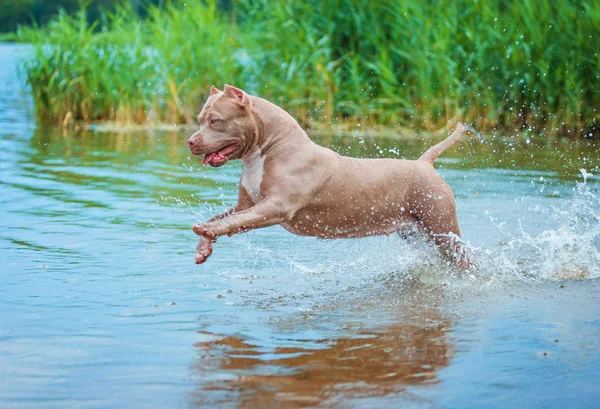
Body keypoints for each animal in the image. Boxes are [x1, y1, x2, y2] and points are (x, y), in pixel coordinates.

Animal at [188, 84, 468, 266]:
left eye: (215, 121)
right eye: (200, 118)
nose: (190, 141)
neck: (272, 146)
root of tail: (424, 164)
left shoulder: (277, 205)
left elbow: (233, 220)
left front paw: (208, 230)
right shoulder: (247, 204)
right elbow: (228, 216)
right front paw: (203, 245)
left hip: (442, 229)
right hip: (416, 231)